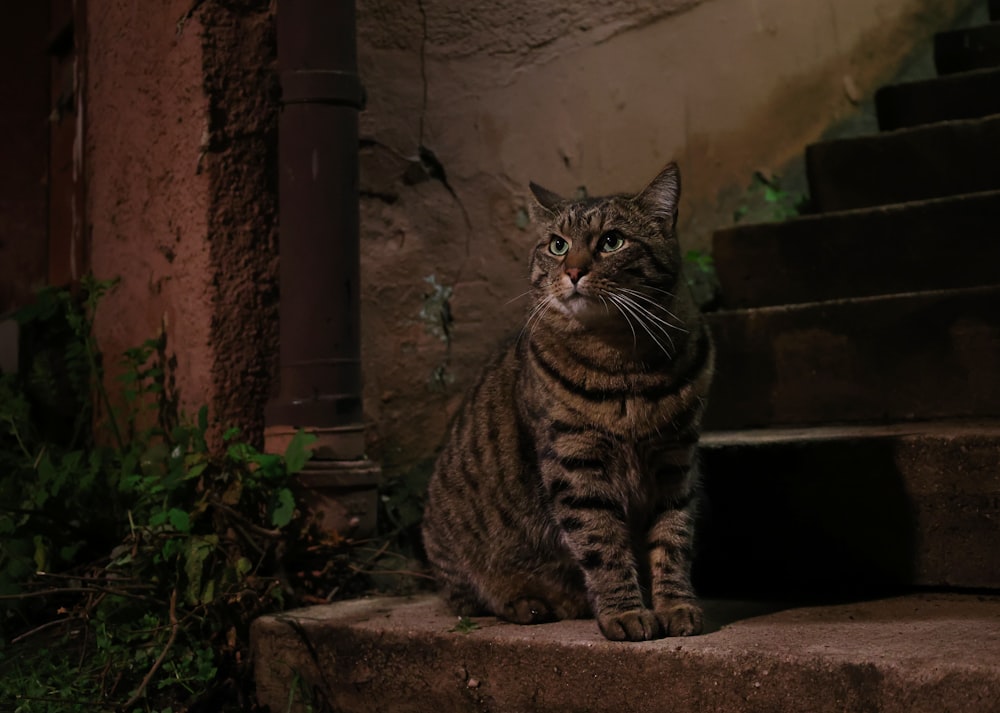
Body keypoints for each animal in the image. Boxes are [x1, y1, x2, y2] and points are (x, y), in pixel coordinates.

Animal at [420, 164, 712, 644]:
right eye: (557, 245)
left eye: (611, 241)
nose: (573, 271)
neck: (623, 363)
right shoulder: (576, 463)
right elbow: (602, 544)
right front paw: (625, 613)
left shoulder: (676, 460)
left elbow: (673, 538)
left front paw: (676, 605)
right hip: (462, 555)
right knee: (473, 600)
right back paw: (530, 603)